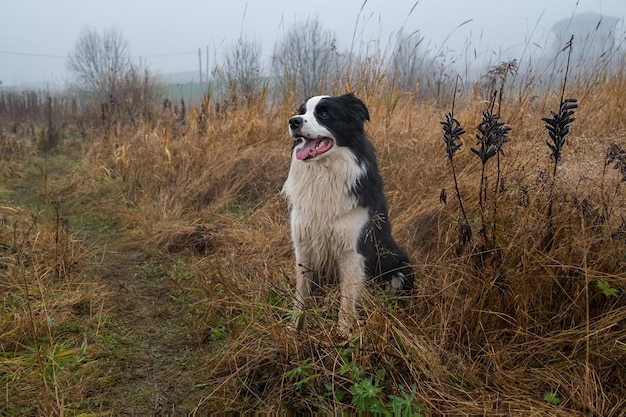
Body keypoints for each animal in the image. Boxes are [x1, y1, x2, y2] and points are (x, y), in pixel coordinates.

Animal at [282, 92, 410, 334]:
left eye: (324, 114)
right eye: (302, 112)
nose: (293, 121)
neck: (324, 174)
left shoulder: (353, 249)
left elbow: (348, 296)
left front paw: (343, 331)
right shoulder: (303, 244)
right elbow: (301, 289)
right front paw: (294, 324)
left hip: (400, 268)